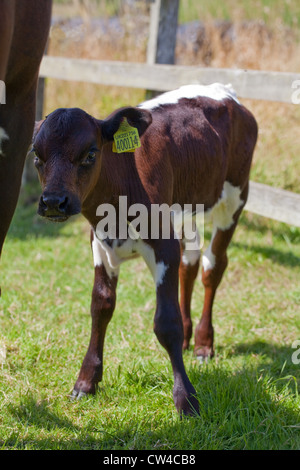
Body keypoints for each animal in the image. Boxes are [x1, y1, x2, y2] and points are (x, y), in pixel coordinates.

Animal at [32, 83, 258, 414]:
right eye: (36, 156)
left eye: (90, 153)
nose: (52, 202)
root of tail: (222, 91)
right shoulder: (99, 244)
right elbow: (101, 307)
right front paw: (86, 382)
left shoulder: (163, 244)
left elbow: (166, 322)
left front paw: (186, 399)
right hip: (187, 208)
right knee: (190, 264)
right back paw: (190, 338)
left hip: (234, 198)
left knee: (213, 267)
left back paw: (204, 344)